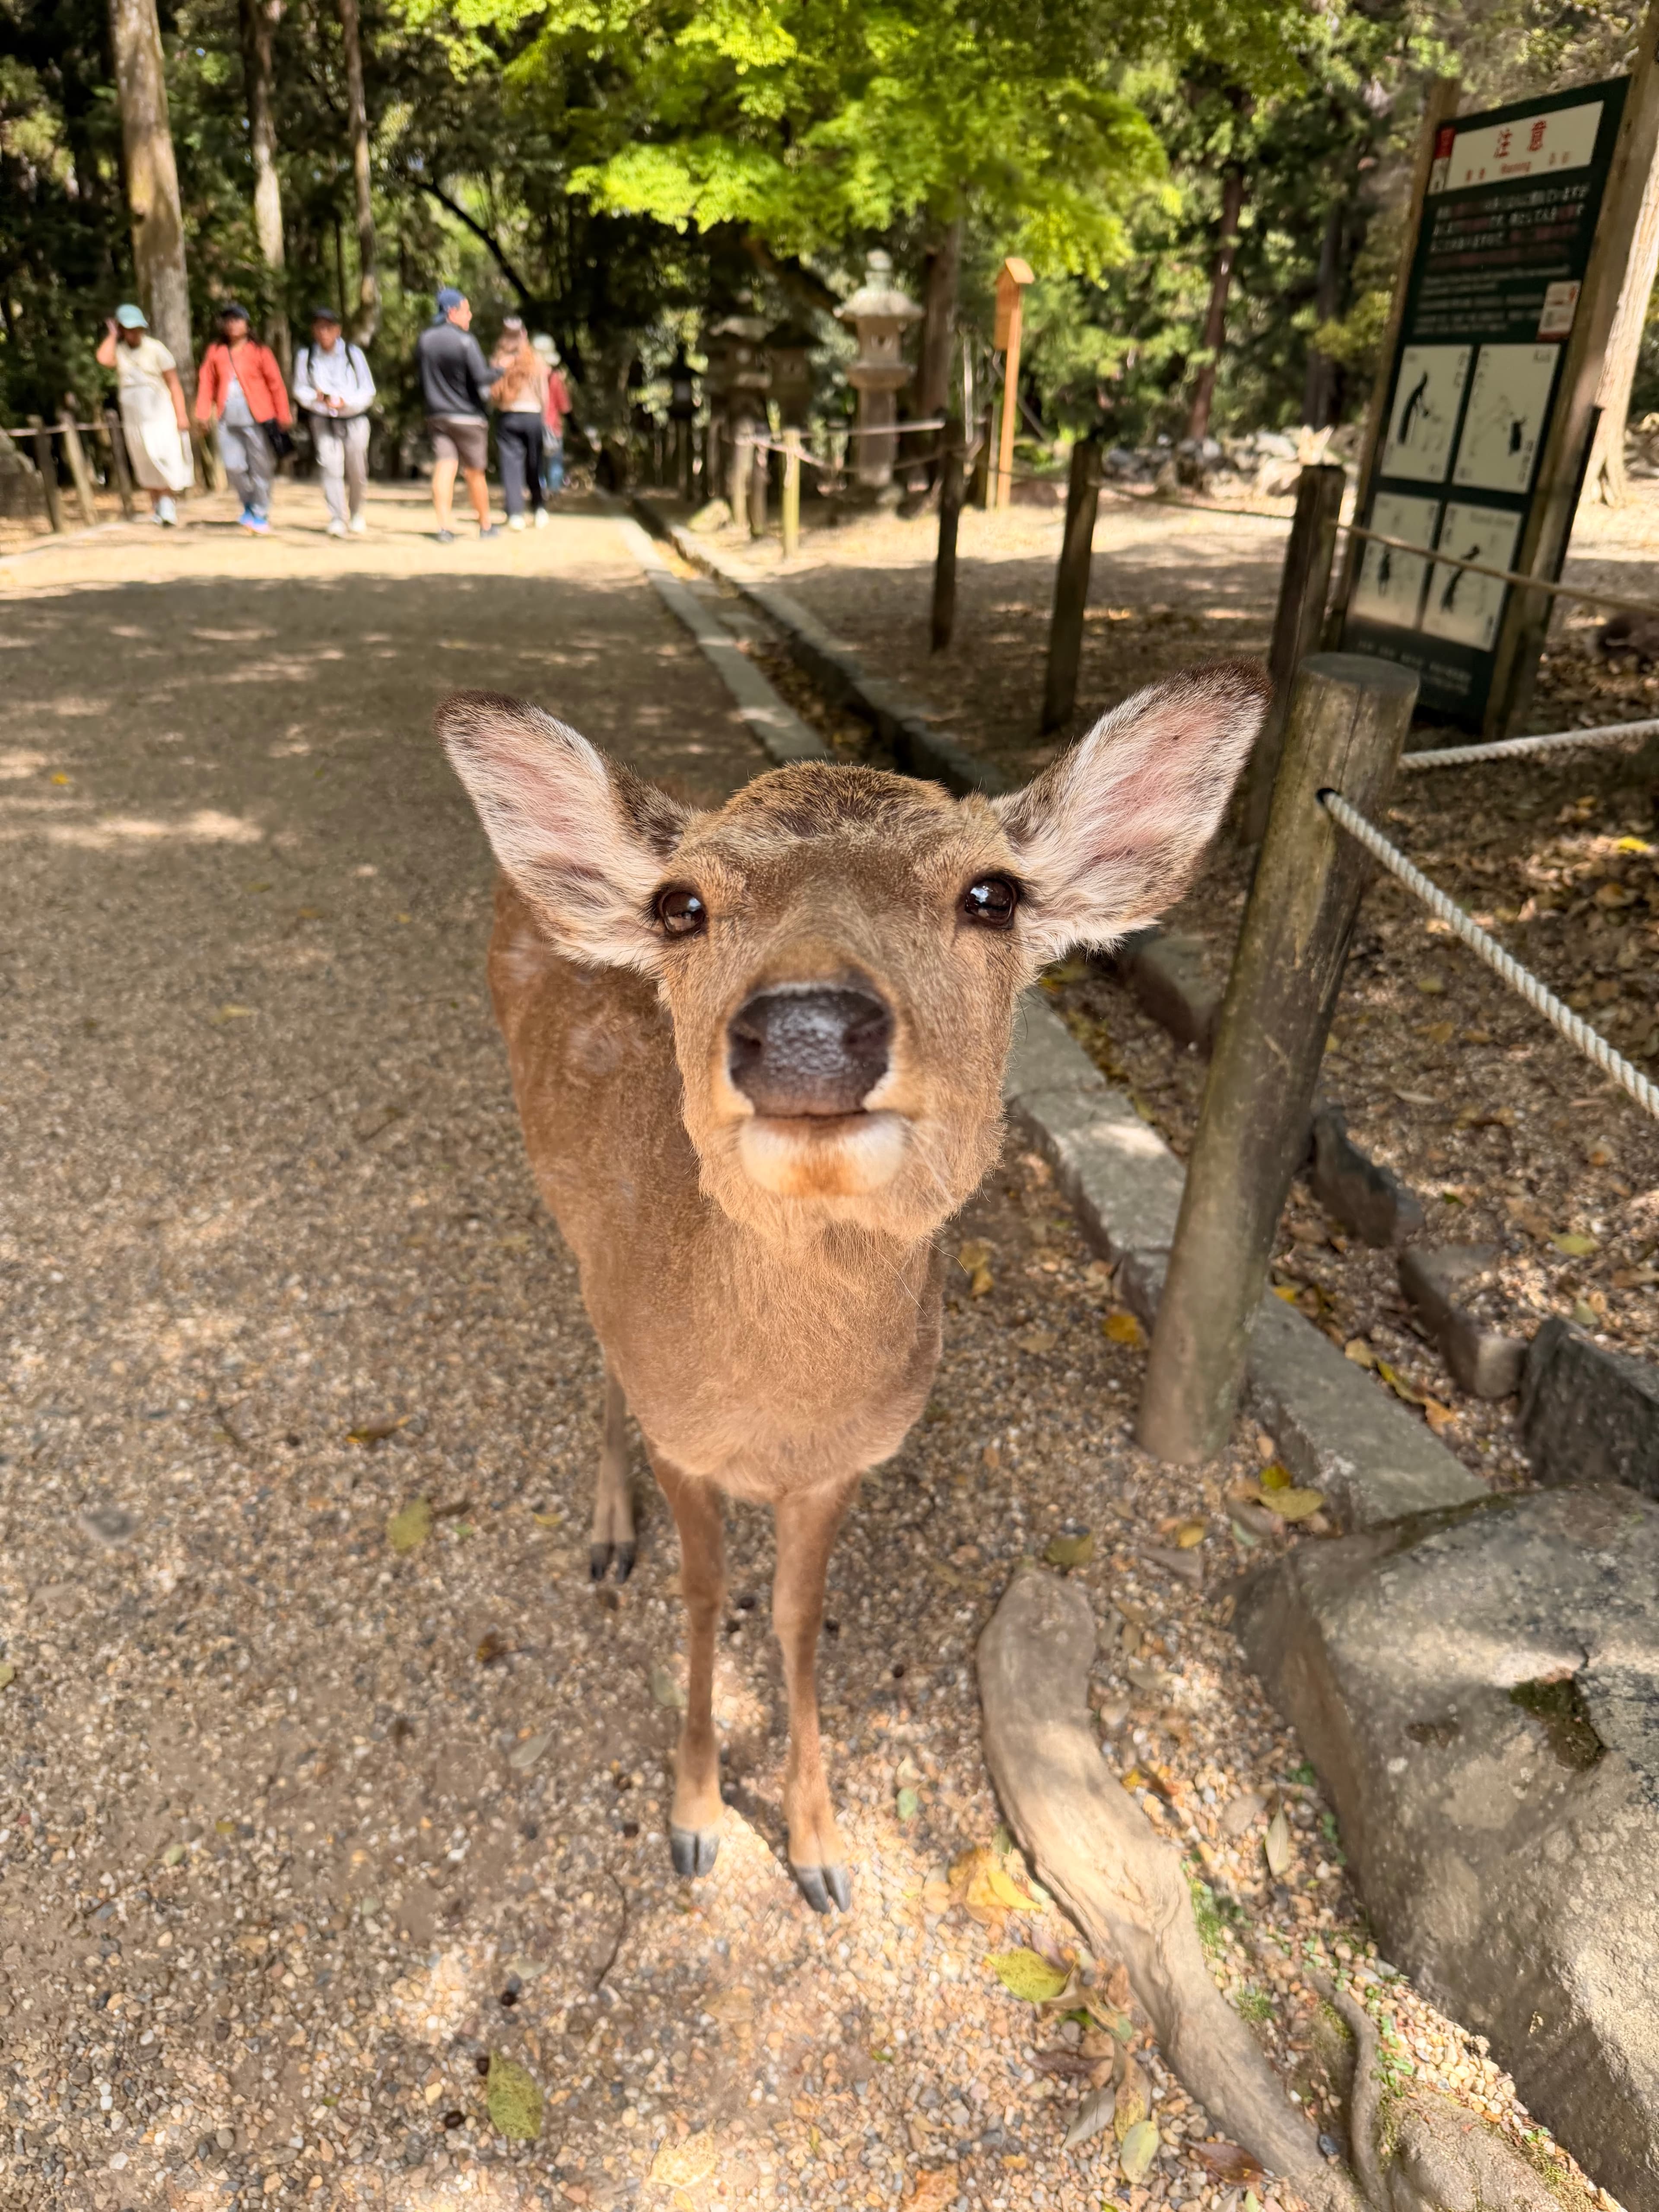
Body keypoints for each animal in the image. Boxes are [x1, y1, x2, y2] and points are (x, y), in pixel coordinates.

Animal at [438, 661, 1268, 1915]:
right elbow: (701, 1594)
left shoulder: (846, 1464)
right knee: (596, 1339)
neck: (777, 1413)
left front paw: (821, 1850)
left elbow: (796, 1616)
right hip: (558, 1191)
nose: (806, 1028)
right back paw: (607, 1529)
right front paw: (693, 1824)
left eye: (992, 894)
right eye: (681, 906)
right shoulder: (686, 1438)